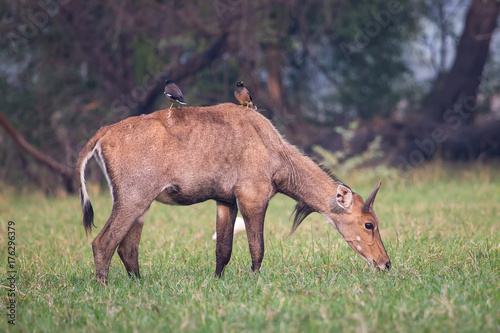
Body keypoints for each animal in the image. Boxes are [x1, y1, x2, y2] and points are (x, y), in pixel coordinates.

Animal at [77, 103, 390, 282]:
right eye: (369, 224)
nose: (385, 263)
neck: (276, 152)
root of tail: (102, 135)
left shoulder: (225, 201)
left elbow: (222, 251)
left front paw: (217, 283)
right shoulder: (253, 196)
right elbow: (257, 248)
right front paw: (254, 282)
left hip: (141, 205)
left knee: (127, 248)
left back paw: (140, 285)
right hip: (133, 198)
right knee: (103, 243)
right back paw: (104, 288)